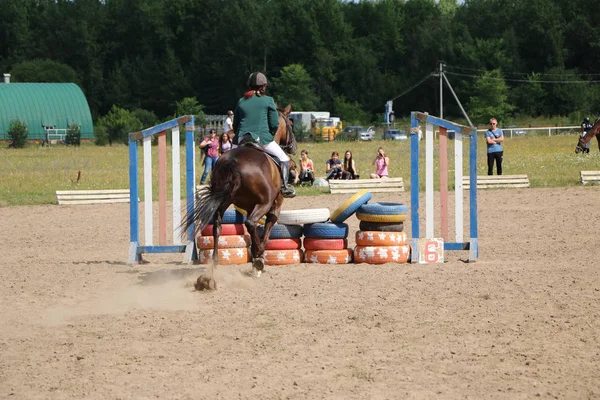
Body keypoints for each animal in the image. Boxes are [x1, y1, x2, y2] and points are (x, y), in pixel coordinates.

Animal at [183, 104, 296, 290]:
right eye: (291, 124)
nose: (293, 147)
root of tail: (232, 162)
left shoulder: (250, 206)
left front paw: (256, 258)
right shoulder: (275, 206)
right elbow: (266, 231)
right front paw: (259, 258)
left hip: (224, 201)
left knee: (217, 226)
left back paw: (211, 272)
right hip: (264, 203)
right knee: (250, 222)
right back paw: (258, 258)